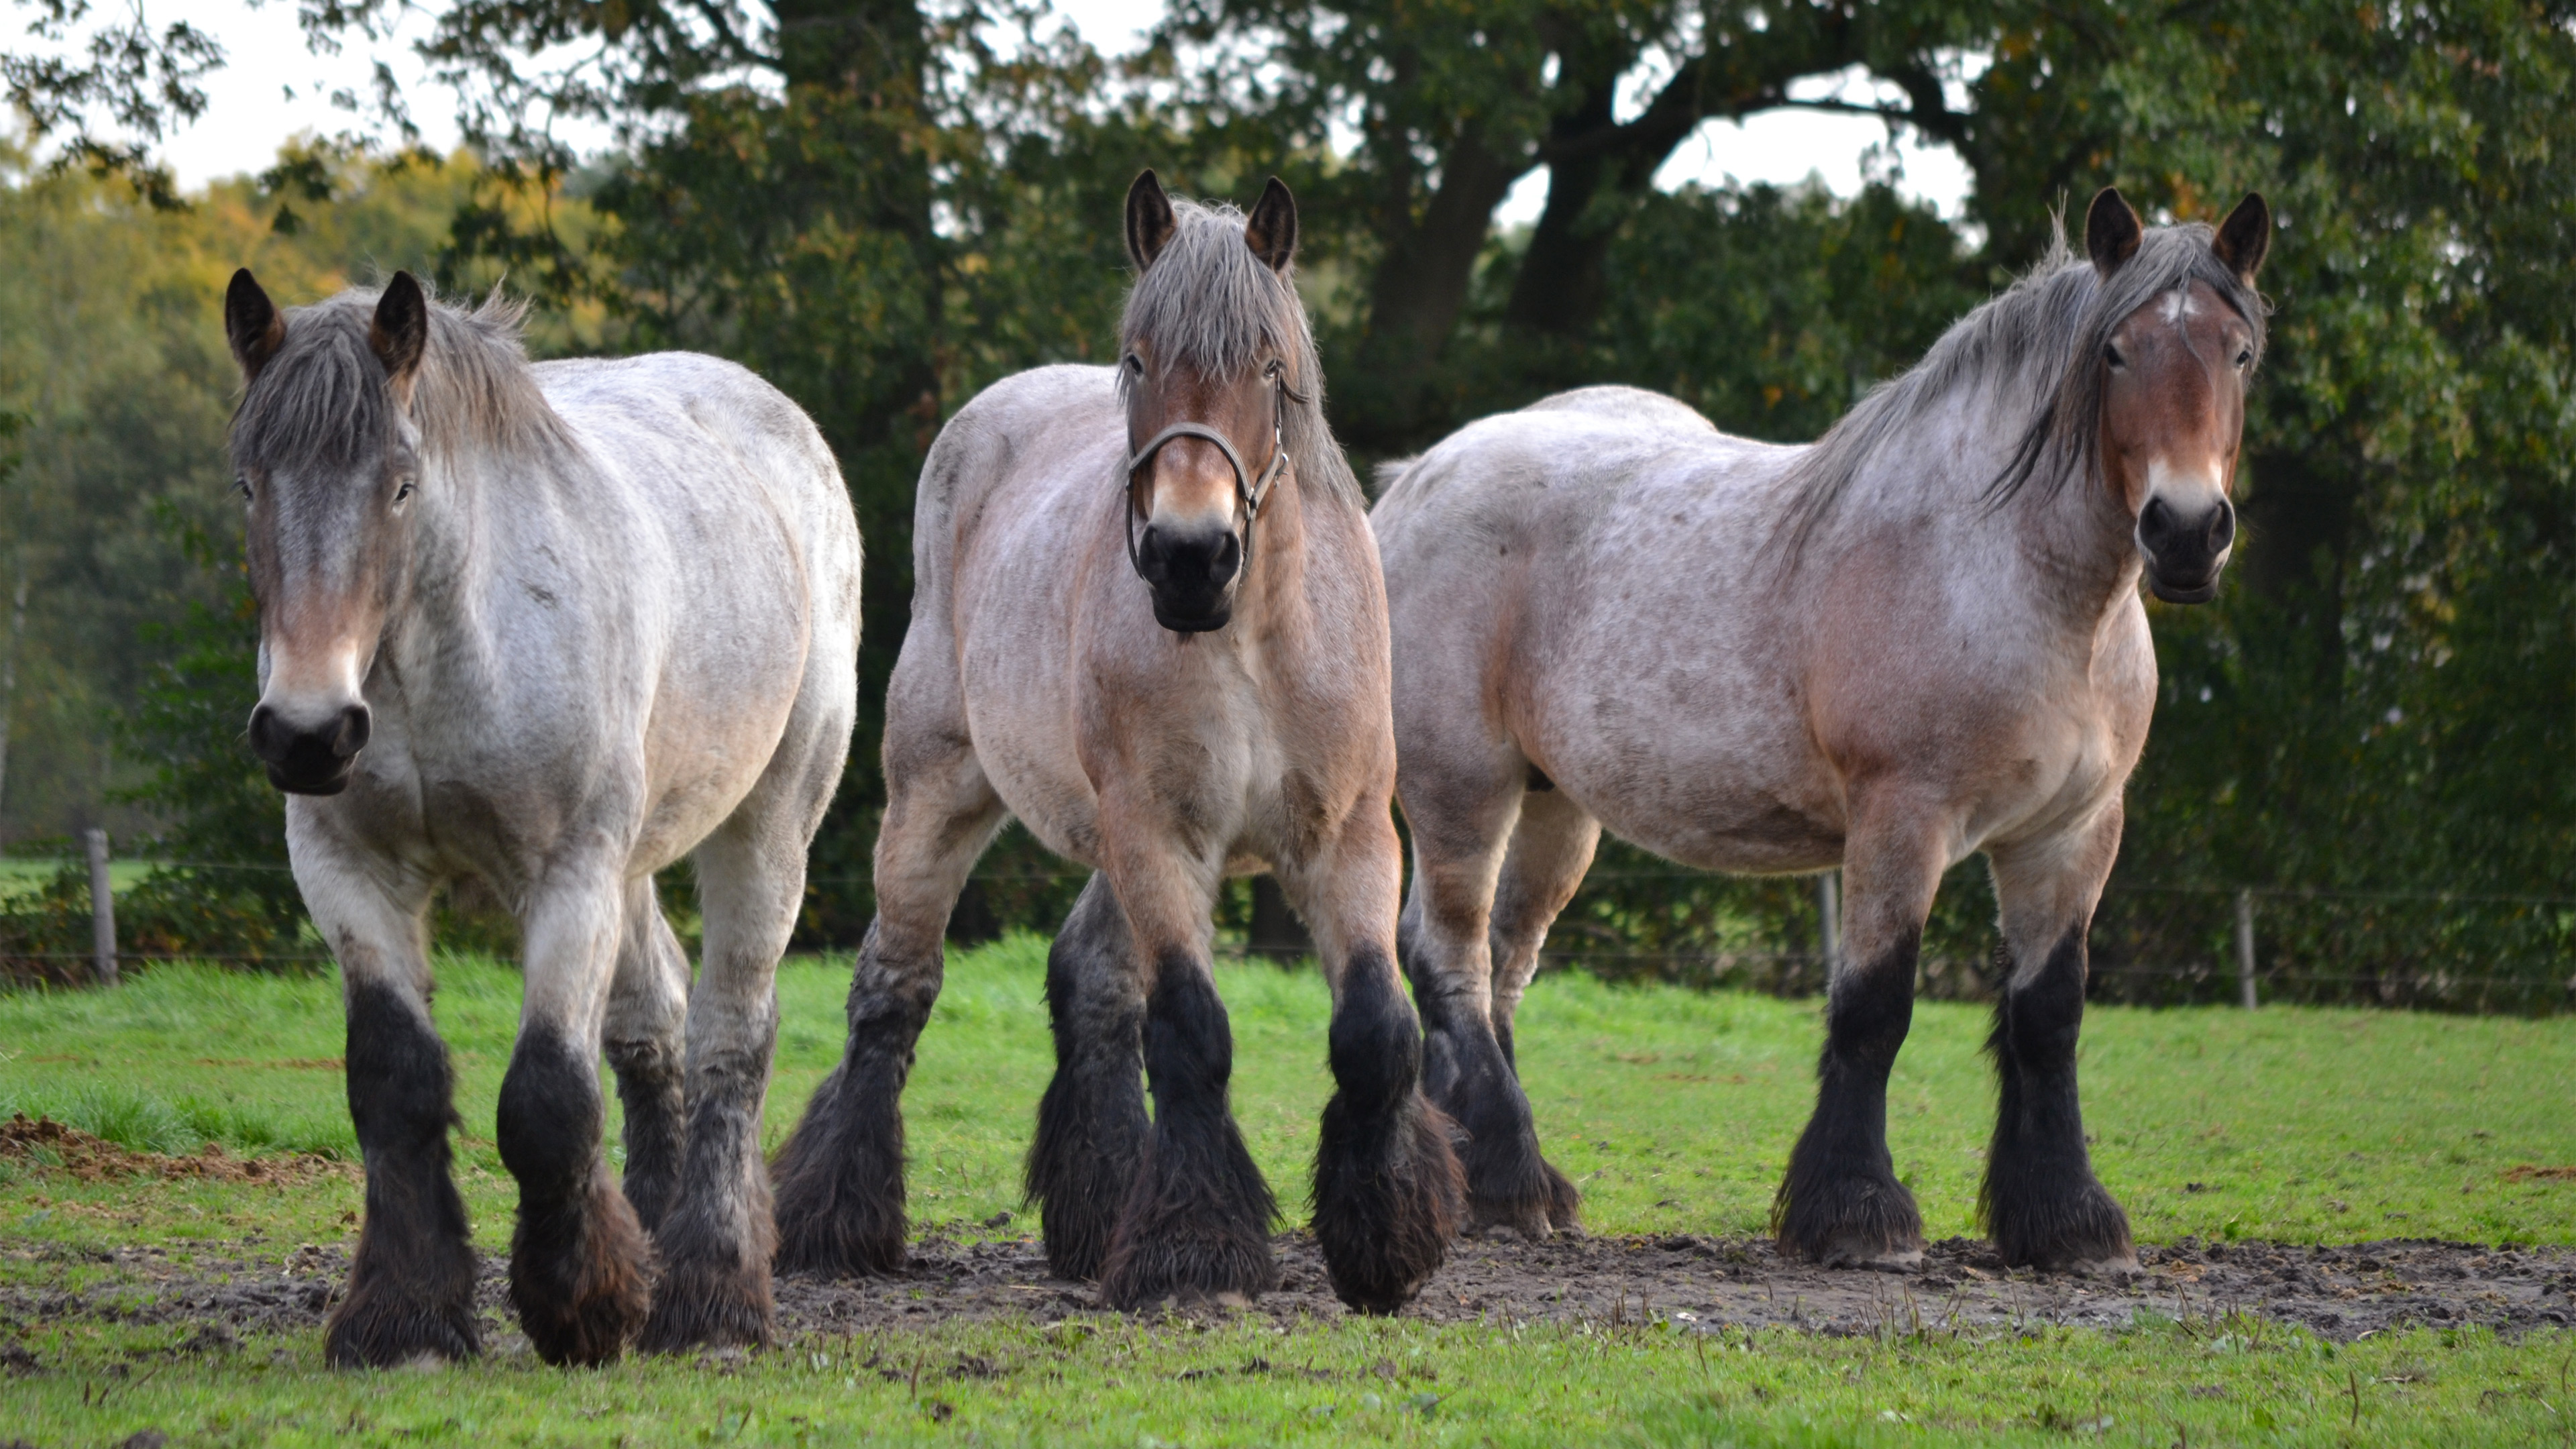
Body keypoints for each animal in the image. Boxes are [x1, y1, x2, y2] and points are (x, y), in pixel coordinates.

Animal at [226, 265, 860, 1361]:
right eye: (250, 485)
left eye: (401, 485)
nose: (309, 733)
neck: (442, 651)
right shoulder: (348, 873)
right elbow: (393, 1083)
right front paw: (405, 1317)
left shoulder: (569, 873)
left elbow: (548, 1099)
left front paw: (581, 1306)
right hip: (637, 857)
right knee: (657, 1023)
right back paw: (653, 1238)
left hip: (770, 825)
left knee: (731, 1032)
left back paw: (712, 1293)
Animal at [767, 171, 1473, 1309]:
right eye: (1139, 361)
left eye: (1267, 367)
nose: (1191, 555)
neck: (1255, 637)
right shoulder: (1158, 832)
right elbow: (1190, 1029)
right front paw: (1195, 1246)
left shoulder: (1347, 835)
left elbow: (1374, 1031)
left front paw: (1386, 1243)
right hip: (937, 795)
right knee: (895, 986)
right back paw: (840, 1221)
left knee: (1090, 983)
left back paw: (1096, 1213)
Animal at [1381, 189, 2267, 1263]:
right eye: (2116, 352)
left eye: (2240, 352)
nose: (2186, 532)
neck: (2019, 583)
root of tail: (1416, 477)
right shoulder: (1903, 817)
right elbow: (1876, 1007)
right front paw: (1855, 1209)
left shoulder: (2073, 833)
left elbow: (2049, 1016)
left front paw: (2064, 1218)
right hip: (1462, 791)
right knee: (1451, 961)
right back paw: (1509, 1178)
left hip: (1556, 809)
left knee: (1503, 967)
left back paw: (1485, 1174)